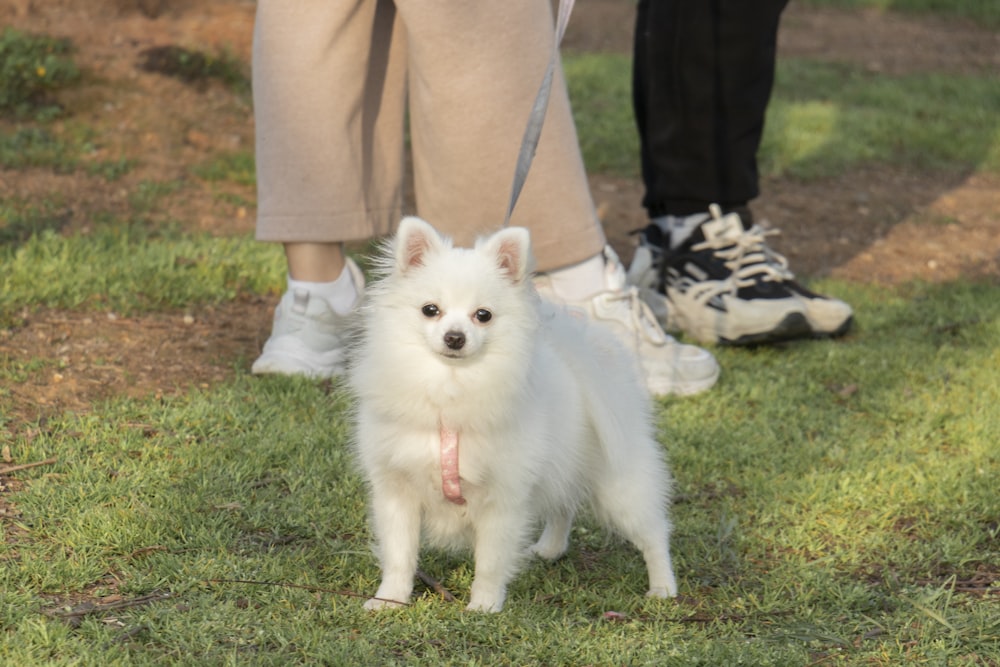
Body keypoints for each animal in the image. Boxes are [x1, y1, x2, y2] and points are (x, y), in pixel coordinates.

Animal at [348, 218, 676, 612]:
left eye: (483, 315)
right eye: (430, 309)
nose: (455, 337)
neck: (450, 390)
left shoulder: (502, 497)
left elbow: (490, 561)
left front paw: (484, 606)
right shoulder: (396, 491)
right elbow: (399, 555)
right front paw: (390, 600)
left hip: (620, 483)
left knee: (653, 532)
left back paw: (663, 587)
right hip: (565, 465)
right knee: (563, 505)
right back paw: (550, 549)